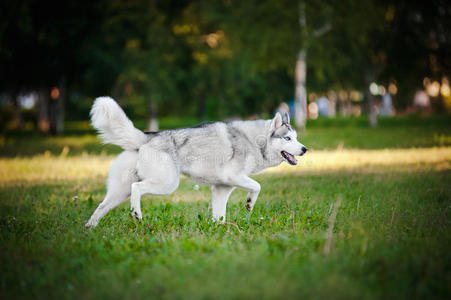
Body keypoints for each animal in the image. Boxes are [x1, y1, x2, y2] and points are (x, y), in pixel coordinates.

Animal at [85, 97, 308, 229]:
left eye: (297, 138)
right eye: (287, 138)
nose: (305, 149)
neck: (254, 140)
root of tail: (147, 137)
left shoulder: (222, 188)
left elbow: (219, 215)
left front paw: (219, 231)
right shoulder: (234, 177)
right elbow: (257, 186)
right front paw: (249, 203)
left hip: (118, 192)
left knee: (102, 206)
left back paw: (90, 229)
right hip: (167, 184)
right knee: (137, 188)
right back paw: (136, 213)